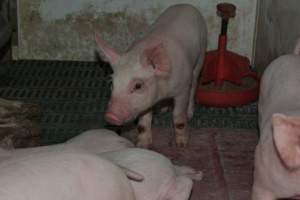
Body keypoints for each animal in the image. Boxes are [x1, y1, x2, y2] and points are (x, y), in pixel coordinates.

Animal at [95, 3, 207, 148]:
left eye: (138, 85)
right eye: (112, 84)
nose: (110, 116)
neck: (163, 91)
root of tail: (187, 5)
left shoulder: (182, 89)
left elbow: (178, 116)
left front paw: (182, 144)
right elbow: (143, 123)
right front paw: (142, 146)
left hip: (202, 52)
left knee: (194, 82)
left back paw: (189, 113)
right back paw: (164, 109)